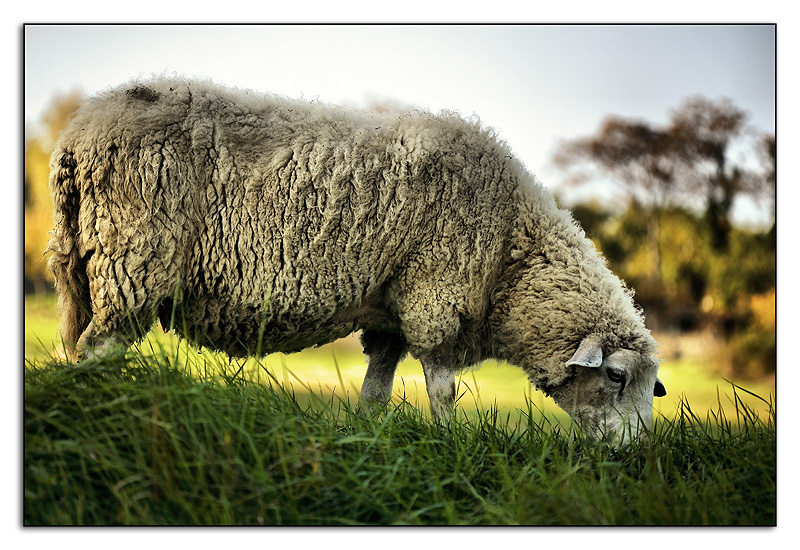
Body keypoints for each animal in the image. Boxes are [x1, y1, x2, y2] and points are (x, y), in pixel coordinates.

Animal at [47, 77, 666, 442]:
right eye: (615, 375)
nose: (631, 453)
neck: (512, 263)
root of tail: (77, 133)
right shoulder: (434, 294)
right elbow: (442, 389)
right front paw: (449, 445)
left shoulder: (391, 313)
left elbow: (375, 391)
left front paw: (367, 439)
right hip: (134, 255)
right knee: (100, 348)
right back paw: (103, 415)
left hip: (83, 265)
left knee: (78, 347)